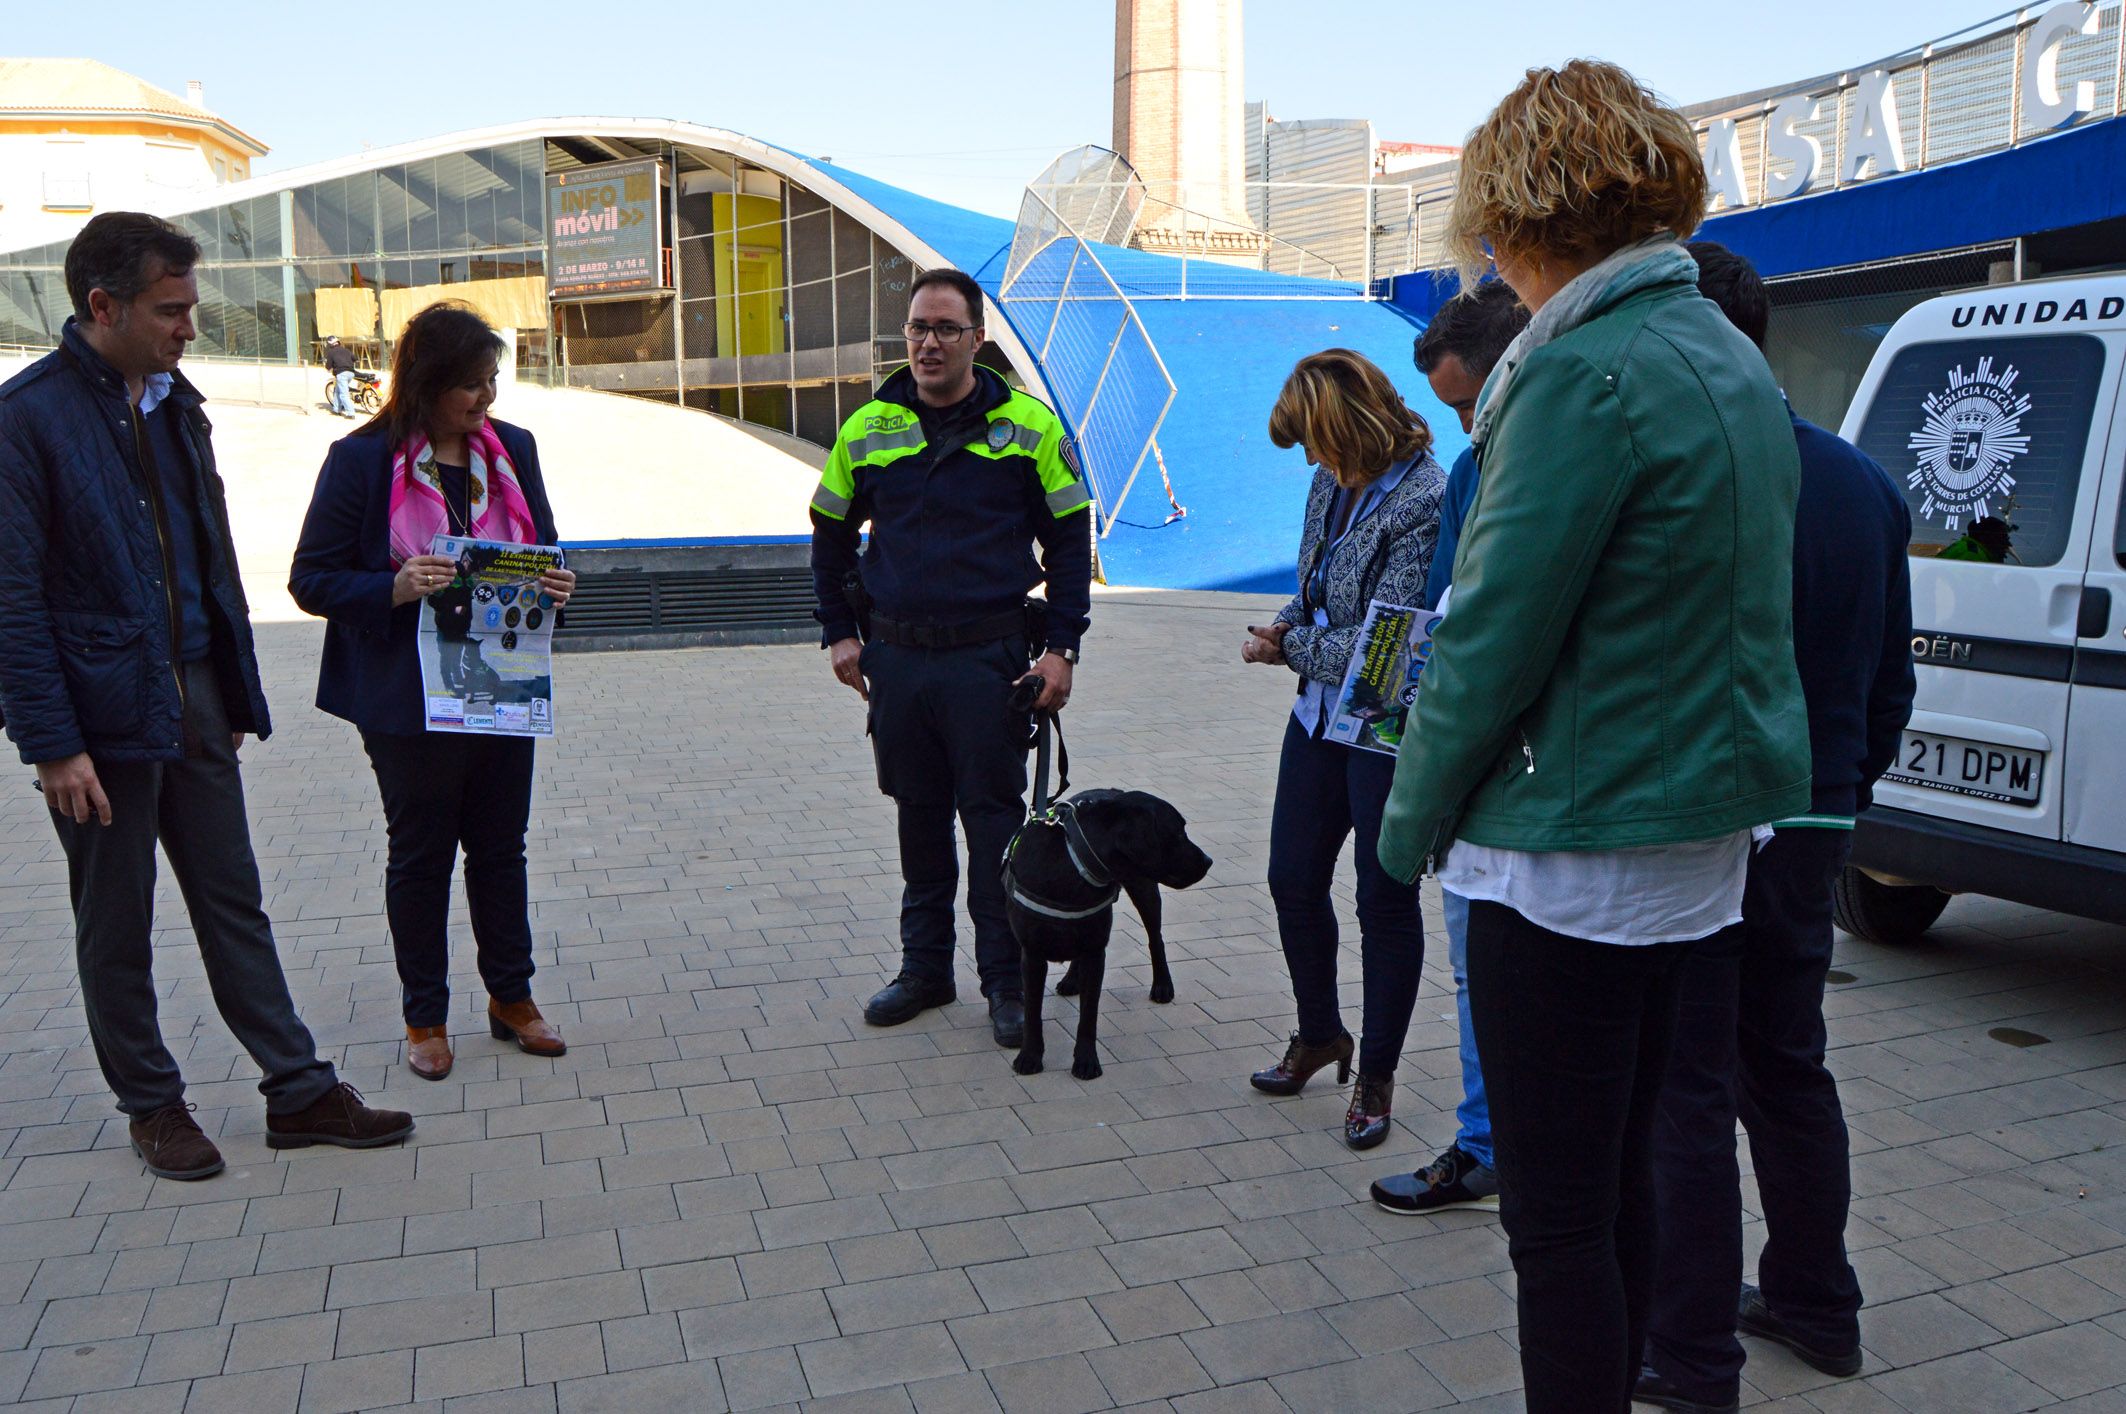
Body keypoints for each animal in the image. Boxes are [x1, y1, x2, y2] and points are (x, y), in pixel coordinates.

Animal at [999, 782, 1207, 1080]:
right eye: (1178, 832)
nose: (1208, 861)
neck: (1072, 867)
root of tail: (1112, 789)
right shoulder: (1032, 954)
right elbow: (1032, 1012)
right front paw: (1029, 1056)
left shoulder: (1096, 952)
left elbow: (1088, 1015)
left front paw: (1086, 1061)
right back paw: (1072, 980)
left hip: (1143, 887)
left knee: (1155, 938)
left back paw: (1162, 984)